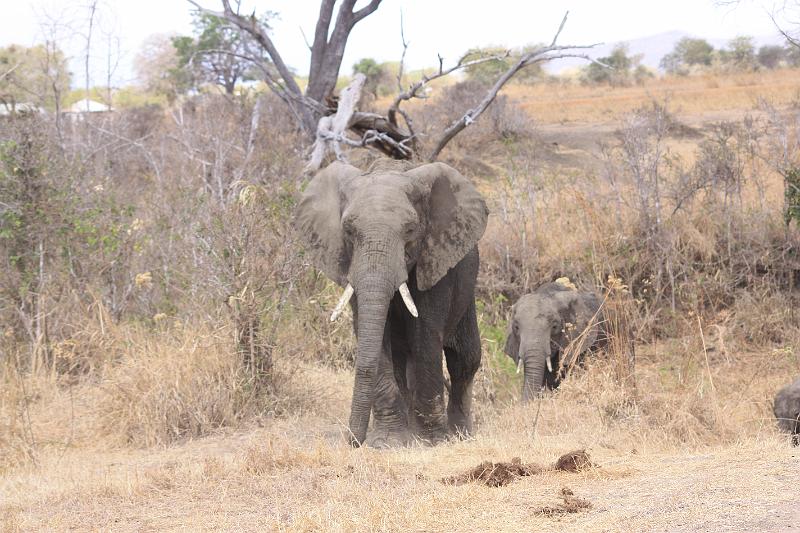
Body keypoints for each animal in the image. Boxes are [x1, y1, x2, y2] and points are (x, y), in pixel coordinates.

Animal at [294, 160, 488, 447]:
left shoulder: (435, 257)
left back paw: (459, 434)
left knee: (464, 358)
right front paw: (388, 442)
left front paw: (432, 441)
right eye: (348, 231)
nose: (352, 440)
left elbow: (425, 333)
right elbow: (374, 333)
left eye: (410, 230)